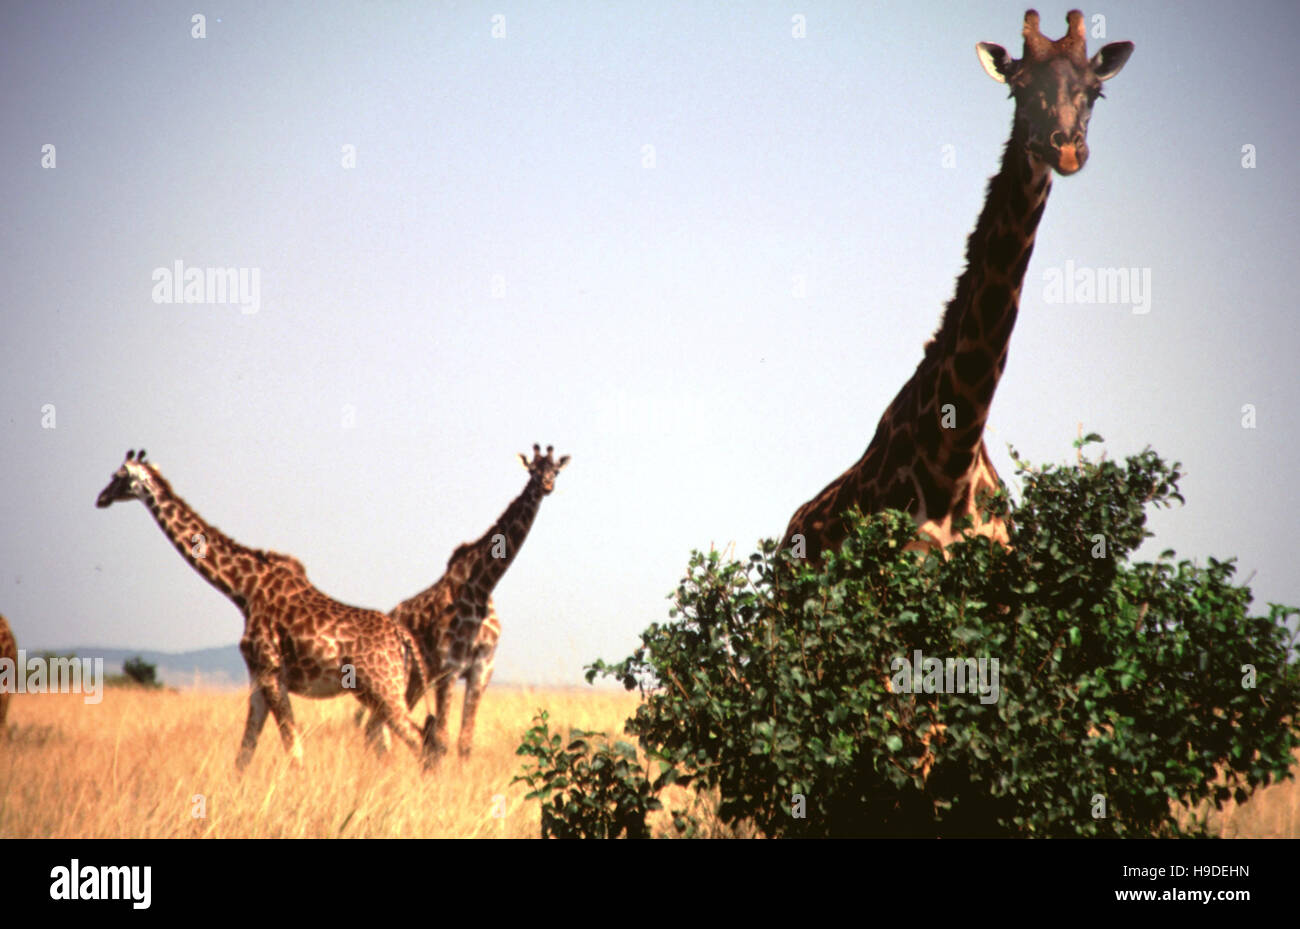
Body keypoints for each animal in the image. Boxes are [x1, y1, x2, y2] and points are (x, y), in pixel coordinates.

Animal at [97, 449, 431, 769]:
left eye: (117, 476)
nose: (100, 498)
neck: (243, 591)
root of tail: (403, 638)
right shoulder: (257, 677)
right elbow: (245, 752)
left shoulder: (271, 672)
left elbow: (293, 750)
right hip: (384, 691)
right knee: (388, 742)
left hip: (382, 688)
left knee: (420, 740)